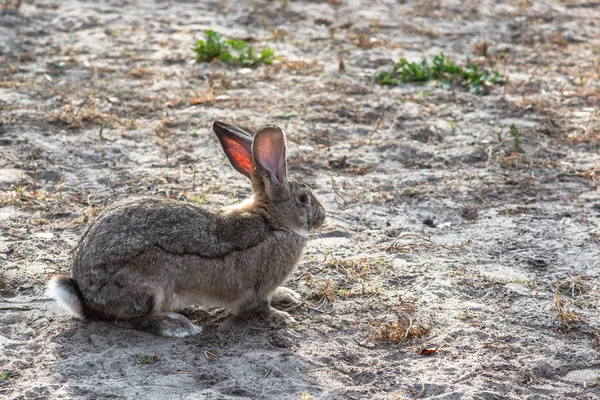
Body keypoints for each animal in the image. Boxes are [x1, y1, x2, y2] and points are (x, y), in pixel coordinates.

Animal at [48, 122, 326, 338]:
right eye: (303, 199)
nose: (322, 217)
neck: (273, 222)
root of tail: (85, 298)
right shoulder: (257, 289)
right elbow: (258, 308)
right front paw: (282, 317)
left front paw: (287, 296)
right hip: (148, 285)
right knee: (127, 320)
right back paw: (177, 326)